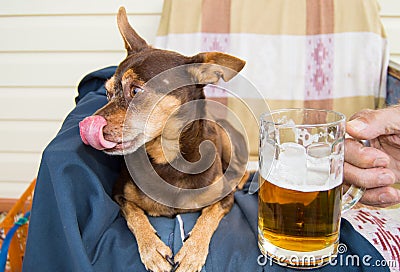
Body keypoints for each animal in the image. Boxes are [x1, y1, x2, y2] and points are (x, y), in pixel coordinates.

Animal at [78, 6, 248, 272]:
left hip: (229, 143)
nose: (85, 126)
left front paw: (192, 253)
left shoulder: (225, 199)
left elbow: (208, 217)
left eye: (136, 91)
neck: (167, 157)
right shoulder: (119, 196)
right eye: (106, 93)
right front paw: (152, 250)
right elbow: (135, 215)